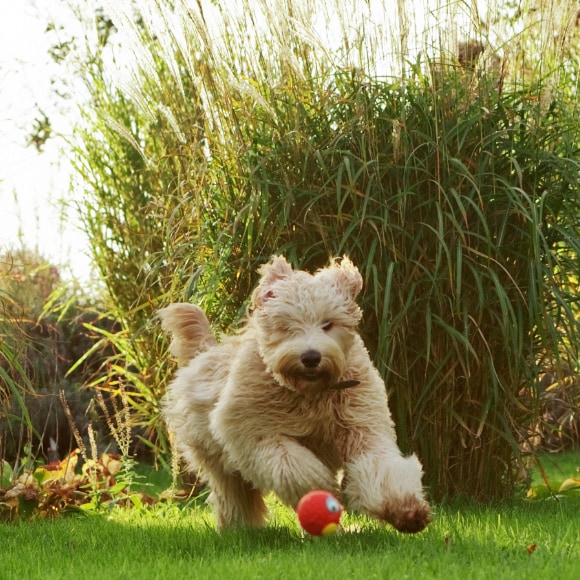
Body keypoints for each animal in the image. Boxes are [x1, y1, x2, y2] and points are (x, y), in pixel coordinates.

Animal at [159, 256, 430, 532]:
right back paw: (239, 528)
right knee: (233, 493)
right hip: (215, 456)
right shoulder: (255, 433)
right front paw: (322, 489)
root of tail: (206, 351)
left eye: (327, 324)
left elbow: (379, 465)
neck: (311, 395)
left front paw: (405, 510)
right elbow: (293, 465)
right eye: (287, 326)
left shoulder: (363, 427)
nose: (311, 357)